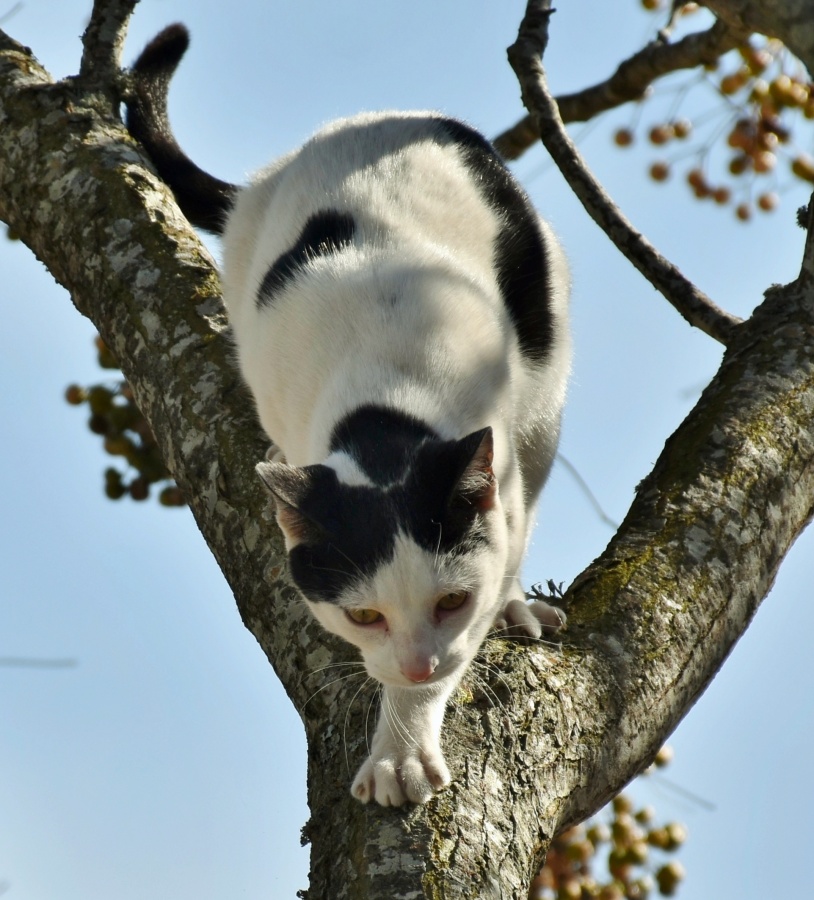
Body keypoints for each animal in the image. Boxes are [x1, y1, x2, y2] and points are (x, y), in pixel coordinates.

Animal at [127, 24, 572, 804]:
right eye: (364, 614)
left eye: (450, 602)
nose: (419, 664)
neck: (389, 401)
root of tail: (383, 116)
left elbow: (477, 615)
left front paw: (401, 747)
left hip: (546, 373)